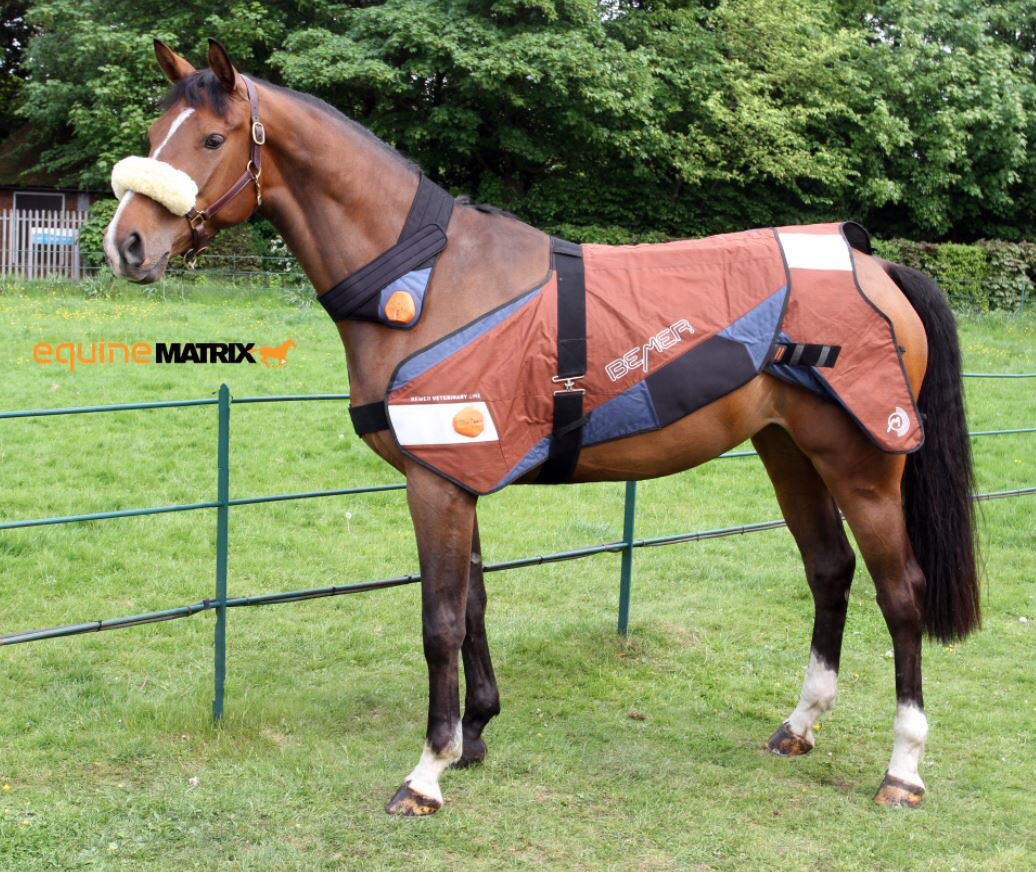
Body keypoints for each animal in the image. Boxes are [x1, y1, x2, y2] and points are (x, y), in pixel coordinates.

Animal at [104, 39, 979, 816]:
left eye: (212, 138)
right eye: (155, 131)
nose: (127, 244)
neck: (425, 279)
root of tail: (872, 264)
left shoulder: (435, 486)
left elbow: (440, 623)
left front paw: (427, 772)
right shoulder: (457, 477)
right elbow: (475, 606)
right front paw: (475, 735)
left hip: (863, 465)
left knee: (901, 595)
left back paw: (902, 770)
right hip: (789, 450)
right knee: (829, 571)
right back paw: (799, 725)